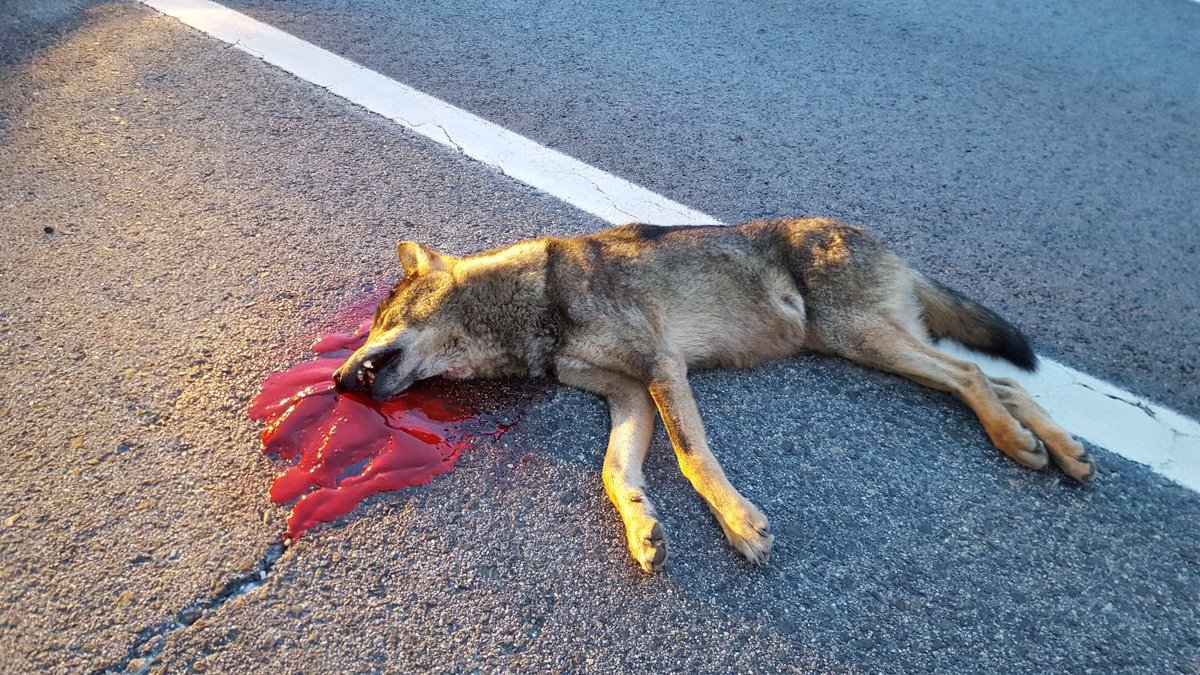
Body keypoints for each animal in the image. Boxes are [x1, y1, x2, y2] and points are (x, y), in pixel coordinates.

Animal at [332, 218, 1093, 573]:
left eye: (379, 320)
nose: (338, 381)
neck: (538, 300)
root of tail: (888, 246)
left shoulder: (662, 367)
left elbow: (693, 458)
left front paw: (739, 523)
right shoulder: (630, 397)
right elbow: (615, 474)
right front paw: (642, 528)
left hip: (864, 339)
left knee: (973, 377)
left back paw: (1019, 442)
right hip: (869, 344)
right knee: (1000, 381)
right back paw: (1058, 449)